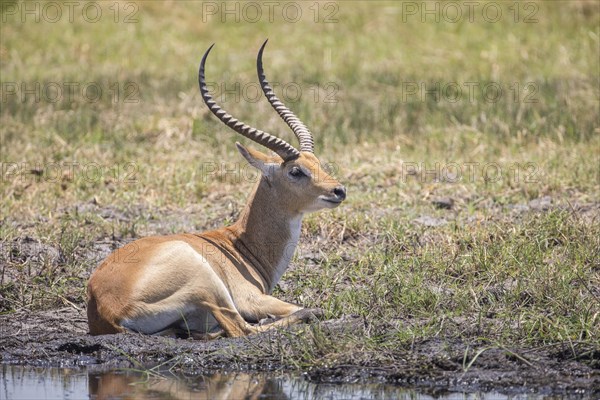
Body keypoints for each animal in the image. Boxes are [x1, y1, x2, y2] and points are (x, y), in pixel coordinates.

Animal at [86, 40, 344, 340]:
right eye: (295, 171)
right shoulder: (251, 298)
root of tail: (108, 310)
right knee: (243, 328)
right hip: (207, 282)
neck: (240, 246)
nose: (339, 191)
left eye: (318, 163)